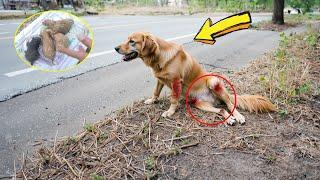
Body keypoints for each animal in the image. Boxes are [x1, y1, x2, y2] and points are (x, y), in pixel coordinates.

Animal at [114, 32, 276, 125]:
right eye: (127, 40)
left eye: (132, 41)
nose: (115, 48)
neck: (159, 57)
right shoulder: (160, 79)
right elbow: (156, 91)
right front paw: (152, 100)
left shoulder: (176, 81)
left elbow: (173, 99)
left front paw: (170, 112)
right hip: (199, 104)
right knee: (221, 110)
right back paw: (229, 120)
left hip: (213, 81)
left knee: (230, 105)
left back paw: (239, 116)